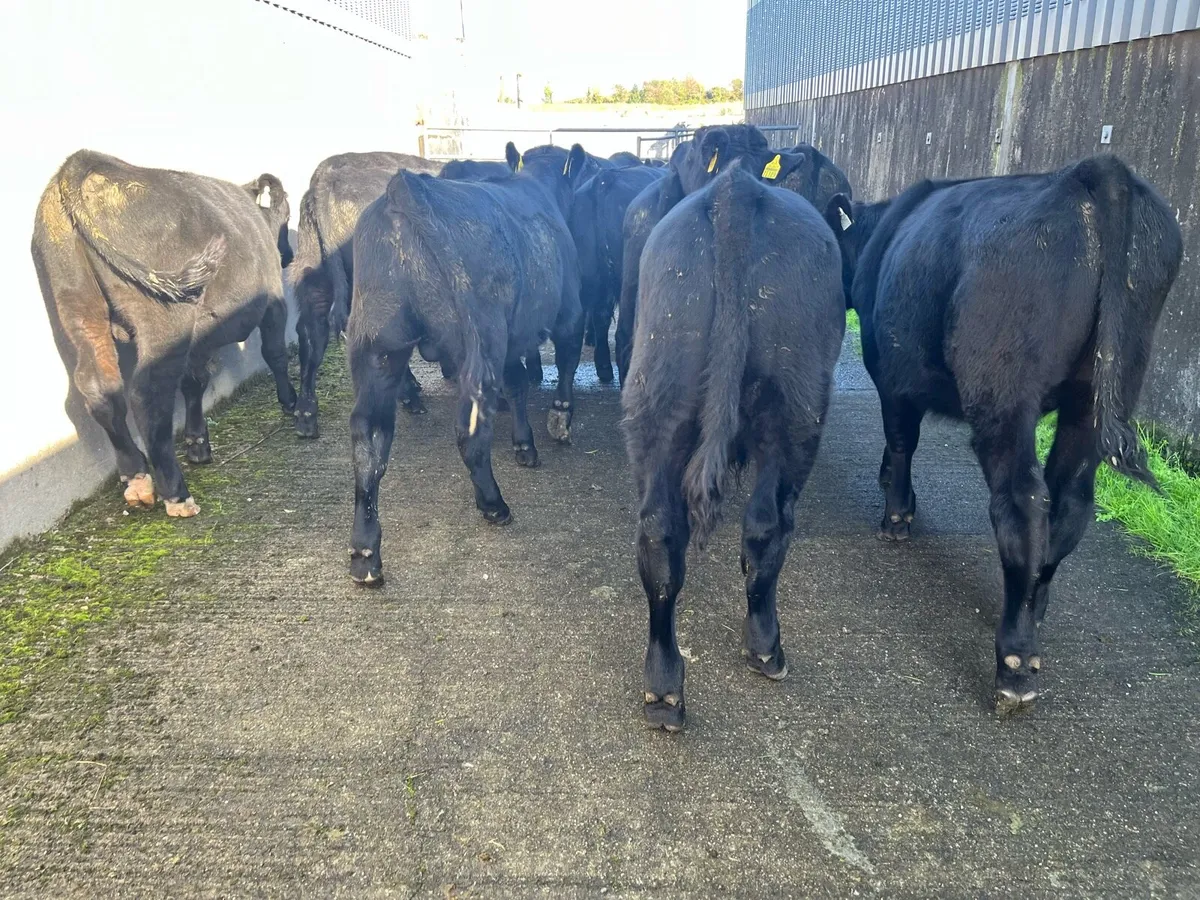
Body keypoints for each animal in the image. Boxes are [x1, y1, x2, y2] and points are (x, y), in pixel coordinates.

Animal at [31, 149, 297, 517]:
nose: (290, 254)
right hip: (165, 319)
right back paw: (176, 493)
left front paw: (198, 444)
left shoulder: (201, 336)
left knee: (100, 387)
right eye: (287, 216)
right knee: (147, 393)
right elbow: (275, 354)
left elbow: (195, 382)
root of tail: (86, 161)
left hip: (76, 302)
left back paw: (136, 477)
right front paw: (292, 404)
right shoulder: (273, 303)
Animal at [346, 145, 588, 584]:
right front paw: (559, 420)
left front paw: (524, 443)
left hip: (378, 347)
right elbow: (564, 363)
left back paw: (364, 552)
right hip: (482, 340)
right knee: (470, 433)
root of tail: (404, 187)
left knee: (368, 437)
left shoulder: (512, 342)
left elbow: (517, 385)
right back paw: (493, 503)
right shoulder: (569, 311)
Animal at [622, 162, 845, 731]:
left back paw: (664, 688)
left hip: (659, 391)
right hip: (798, 408)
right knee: (769, 525)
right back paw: (766, 646)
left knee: (659, 536)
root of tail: (735, 189)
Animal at [824, 155, 1183, 712]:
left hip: (1004, 389)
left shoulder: (889, 368)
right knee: (1070, 504)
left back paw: (1015, 662)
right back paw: (1035, 605)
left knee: (1021, 502)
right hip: (1098, 392)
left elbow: (902, 439)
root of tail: (1091, 172)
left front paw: (897, 513)